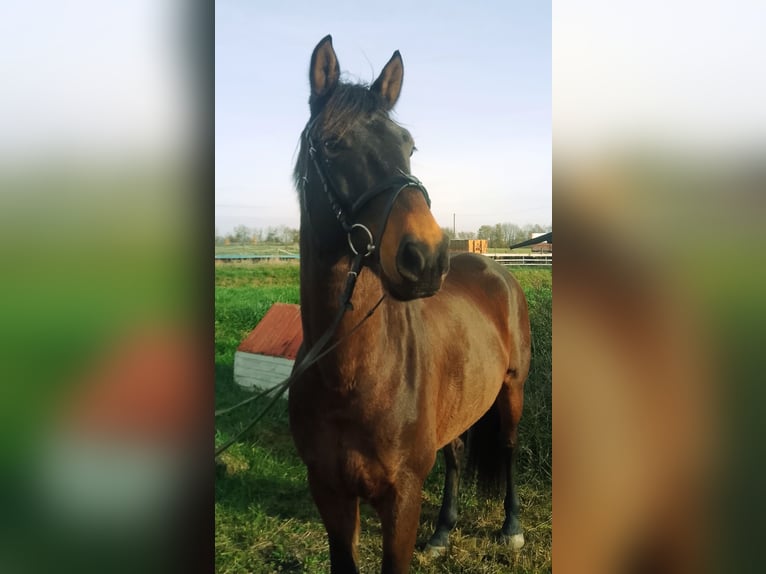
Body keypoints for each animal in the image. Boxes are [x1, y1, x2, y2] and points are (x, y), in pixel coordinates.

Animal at [288, 35, 531, 573]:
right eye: (332, 144)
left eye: (408, 146)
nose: (427, 256)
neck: (348, 374)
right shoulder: (331, 494)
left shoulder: (401, 498)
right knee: (457, 455)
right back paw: (441, 532)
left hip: (511, 390)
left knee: (507, 448)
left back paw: (511, 528)